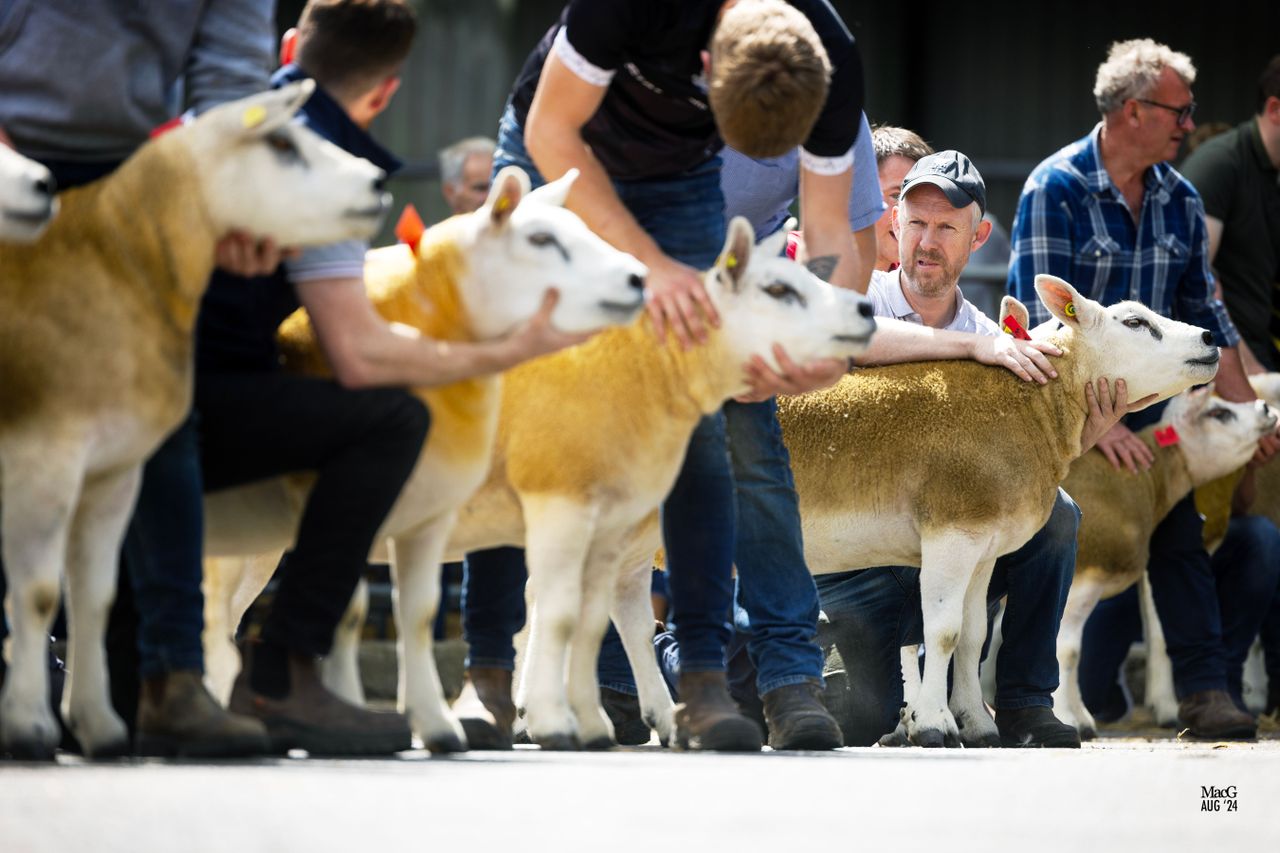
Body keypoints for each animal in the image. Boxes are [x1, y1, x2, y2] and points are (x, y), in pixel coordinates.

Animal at [0, 80, 389, 760]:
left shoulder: (115, 469)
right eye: (281, 143)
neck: (116, 261)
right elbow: (44, 592)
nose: (375, 182)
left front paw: (99, 726)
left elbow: (94, 596)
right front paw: (30, 727)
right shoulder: (47, 453)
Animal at [773, 275, 1222, 747]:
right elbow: (943, 632)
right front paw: (934, 723)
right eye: (1135, 322)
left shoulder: (983, 544)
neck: (1028, 406)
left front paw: (976, 723)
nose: (1209, 338)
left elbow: (973, 636)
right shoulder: (951, 531)